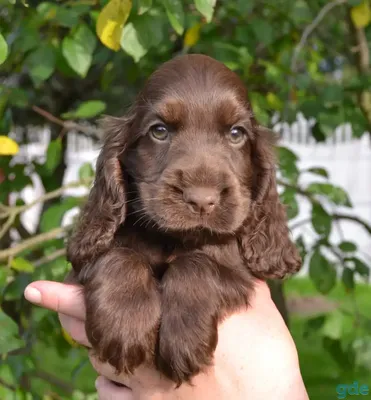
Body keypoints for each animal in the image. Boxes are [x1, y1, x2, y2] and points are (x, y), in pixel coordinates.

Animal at [65, 54, 300, 386]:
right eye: (159, 131)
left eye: (236, 134)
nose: (202, 200)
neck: (174, 239)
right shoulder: (85, 260)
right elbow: (119, 255)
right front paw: (123, 326)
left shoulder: (238, 273)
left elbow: (197, 264)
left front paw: (184, 341)